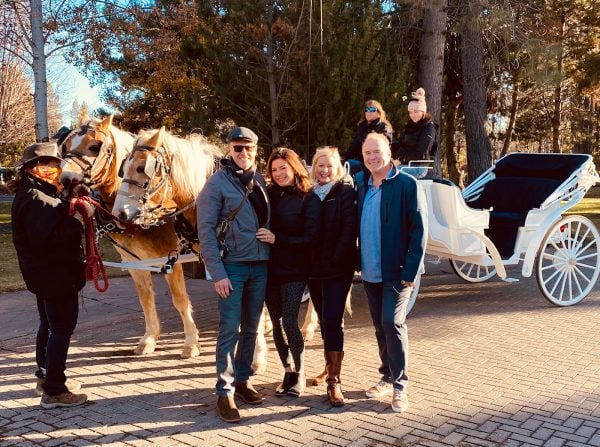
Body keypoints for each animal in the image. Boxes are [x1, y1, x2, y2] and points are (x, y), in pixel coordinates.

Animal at [59, 116, 204, 360]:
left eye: (94, 147)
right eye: (66, 146)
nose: (65, 180)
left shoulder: (170, 260)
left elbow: (180, 299)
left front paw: (191, 342)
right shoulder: (134, 262)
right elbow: (145, 298)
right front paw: (149, 339)